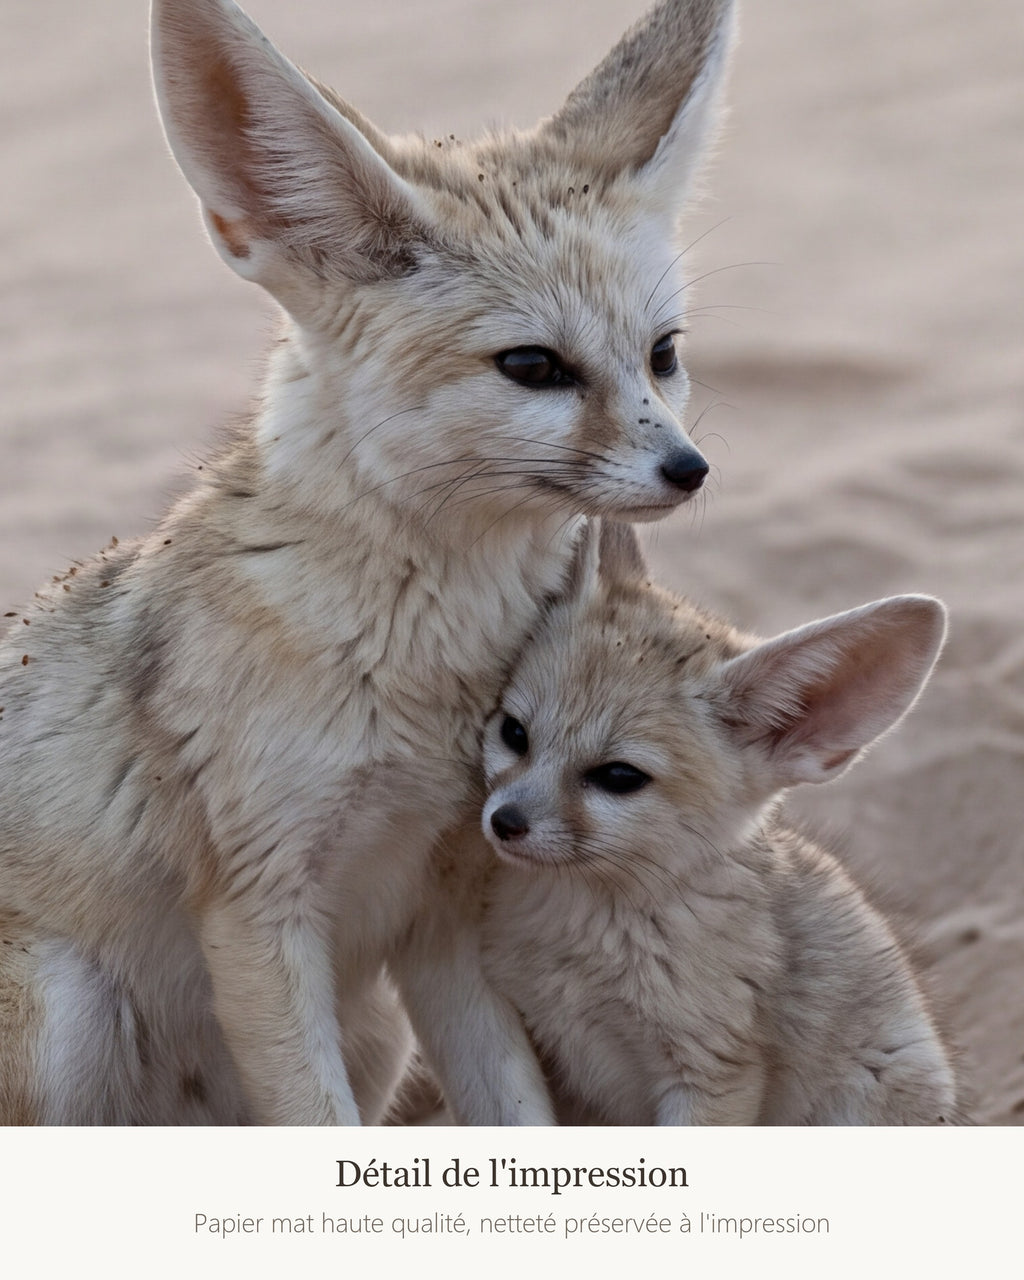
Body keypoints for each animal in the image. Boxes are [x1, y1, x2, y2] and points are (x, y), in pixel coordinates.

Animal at [0, 0, 736, 1124]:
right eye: (534, 366)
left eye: (663, 355)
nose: (689, 470)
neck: (410, 668)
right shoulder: (259, 911)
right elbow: (317, 1120)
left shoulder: (449, 901)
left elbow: (513, 1105)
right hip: (69, 1013)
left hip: (374, 1031)